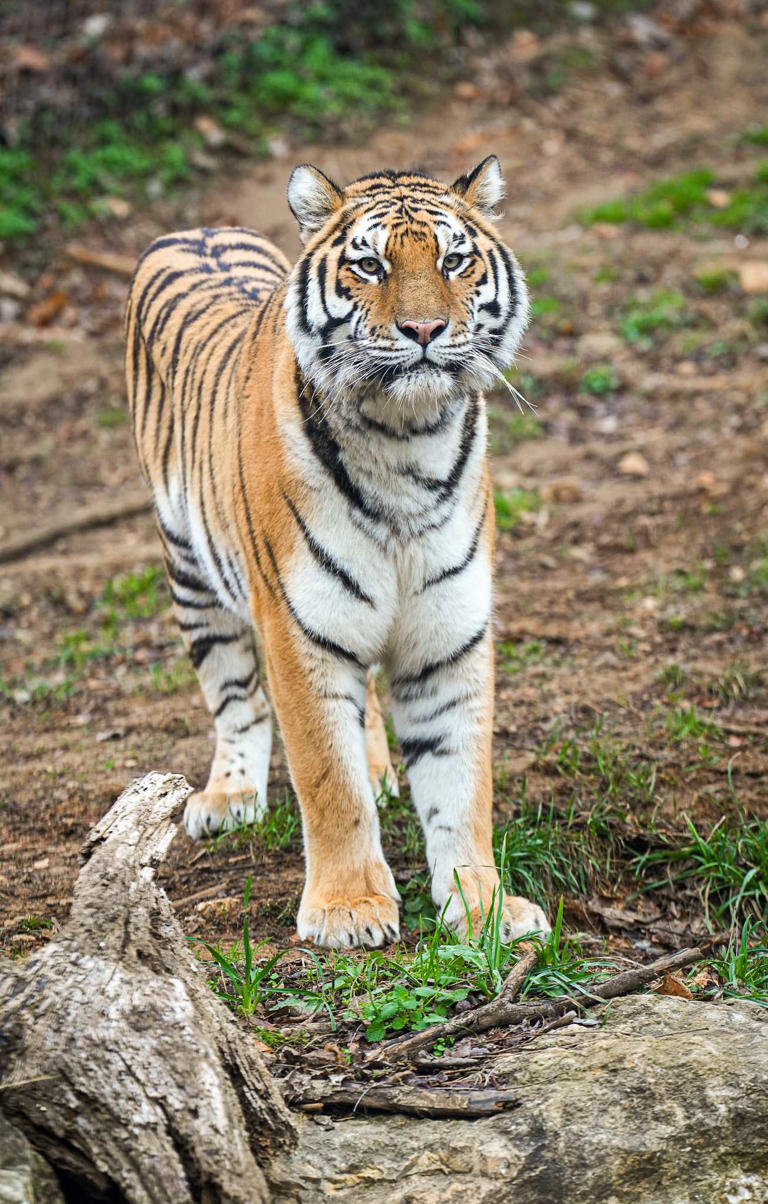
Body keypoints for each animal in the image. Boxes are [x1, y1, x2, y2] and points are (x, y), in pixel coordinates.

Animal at [126, 155, 550, 948]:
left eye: (454, 261)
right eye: (370, 264)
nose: (425, 328)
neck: (408, 439)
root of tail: (197, 229)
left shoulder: (449, 633)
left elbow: (461, 784)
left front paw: (483, 909)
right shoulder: (301, 631)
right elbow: (328, 778)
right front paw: (349, 909)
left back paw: (381, 767)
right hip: (191, 572)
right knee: (234, 697)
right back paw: (229, 795)